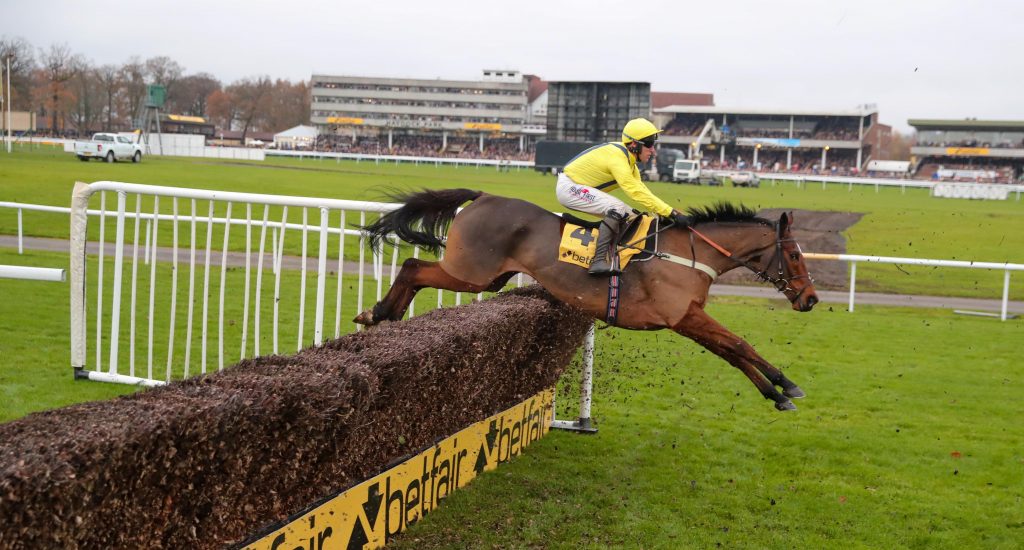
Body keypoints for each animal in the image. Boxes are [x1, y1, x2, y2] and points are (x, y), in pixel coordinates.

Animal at [356, 188, 819, 407]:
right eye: (796, 254)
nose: (811, 299)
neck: (691, 254)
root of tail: (484, 196)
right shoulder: (682, 316)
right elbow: (740, 344)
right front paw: (788, 385)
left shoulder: (686, 319)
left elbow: (733, 352)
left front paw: (777, 393)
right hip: (471, 273)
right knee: (412, 267)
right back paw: (379, 313)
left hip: (487, 278)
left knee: (414, 271)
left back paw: (382, 317)